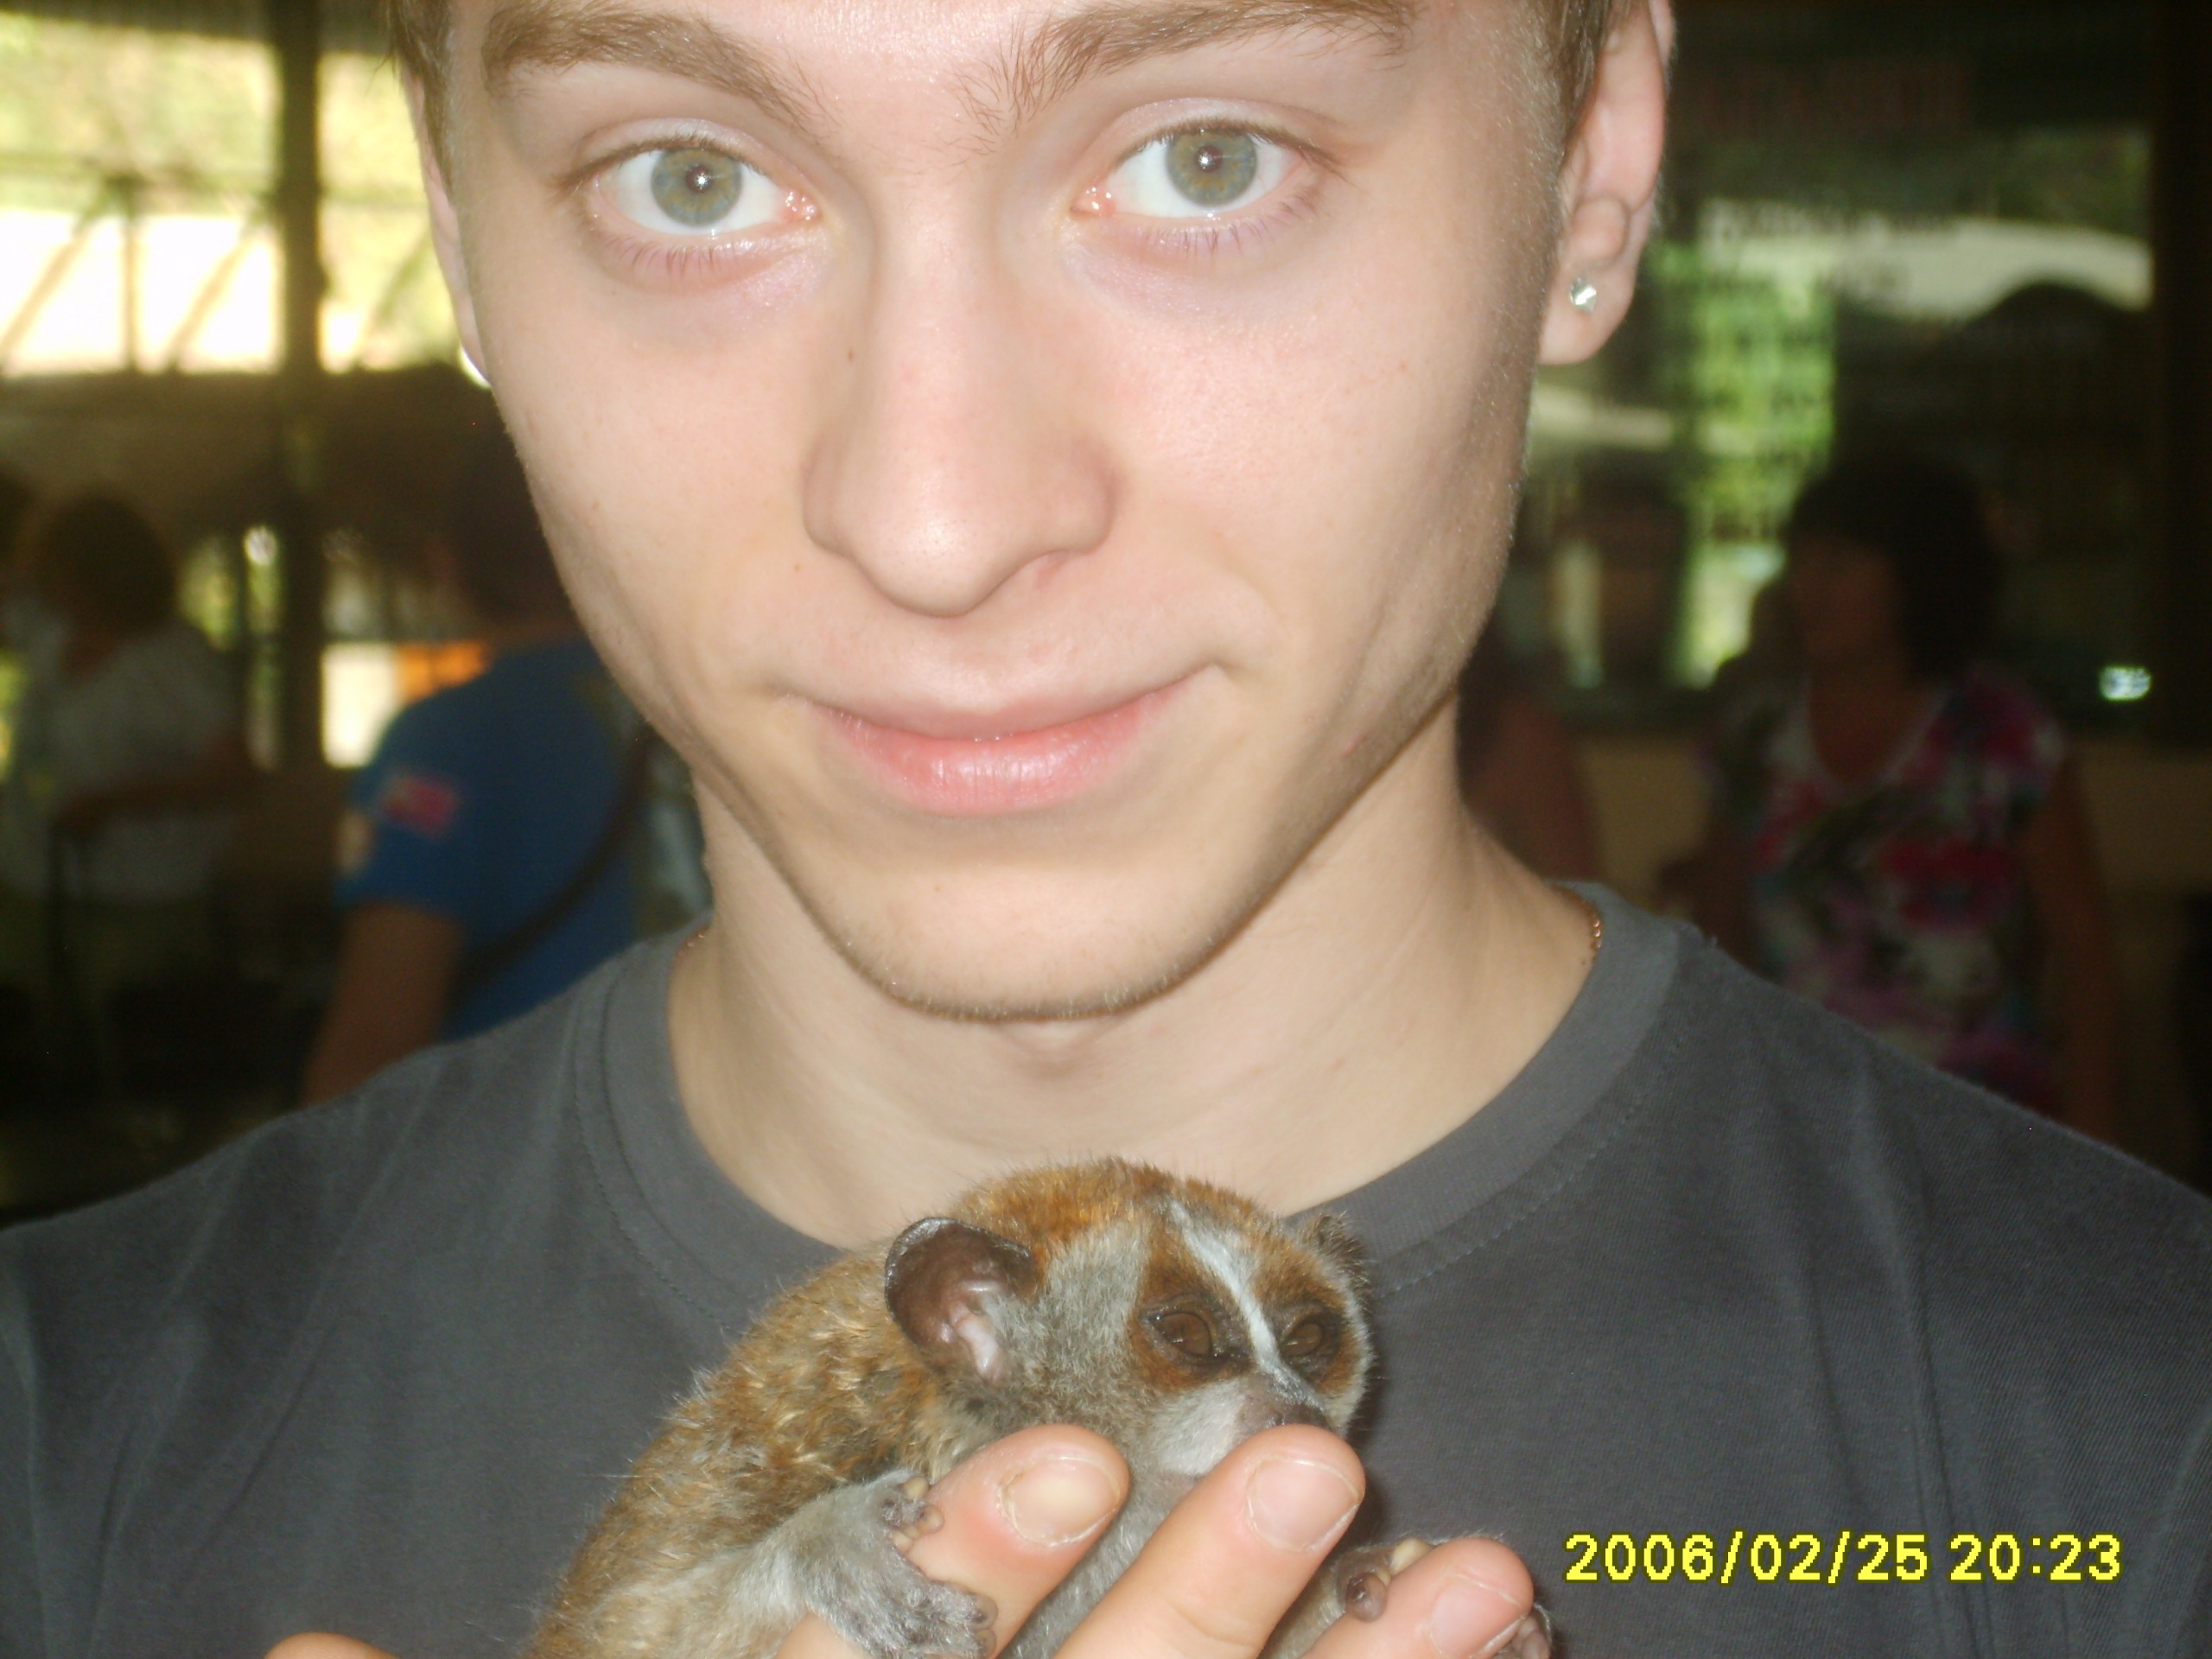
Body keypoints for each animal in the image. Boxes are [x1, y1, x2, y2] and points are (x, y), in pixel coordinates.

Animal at [526, 1158, 1447, 1659]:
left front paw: (1360, 1581)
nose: (1301, 1413)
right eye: (1186, 1335)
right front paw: (834, 1544)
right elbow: (628, 1628)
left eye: (1309, 1339)